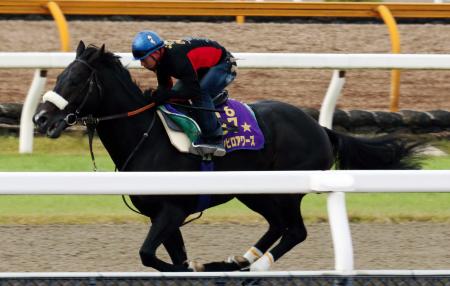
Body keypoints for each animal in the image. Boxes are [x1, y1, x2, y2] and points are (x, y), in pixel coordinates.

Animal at [33, 41, 420, 272]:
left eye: (76, 80)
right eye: (60, 75)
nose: (40, 119)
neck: (147, 135)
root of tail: (319, 127)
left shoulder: (173, 210)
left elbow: (150, 255)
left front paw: (188, 268)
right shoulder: (162, 215)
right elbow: (163, 255)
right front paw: (189, 266)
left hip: (287, 188)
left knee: (295, 231)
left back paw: (256, 265)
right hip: (253, 191)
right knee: (277, 225)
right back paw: (237, 260)